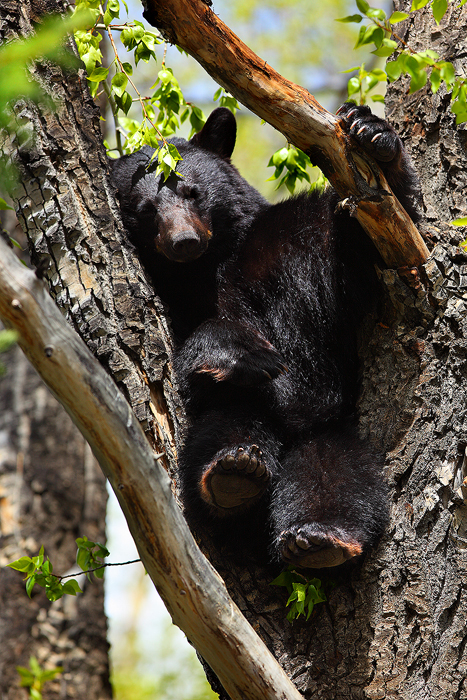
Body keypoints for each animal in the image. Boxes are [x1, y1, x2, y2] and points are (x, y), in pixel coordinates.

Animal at [110, 104, 421, 569]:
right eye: (146, 209)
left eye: (193, 192)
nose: (184, 241)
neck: (212, 265)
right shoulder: (171, 300)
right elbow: (188, 347)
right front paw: (249, 354)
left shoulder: (289, 247)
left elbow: (372, 243)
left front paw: (373, 135)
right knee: (226, 425)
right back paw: (235, 473)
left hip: (333, 422)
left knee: (335, 470)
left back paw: (321, 537)